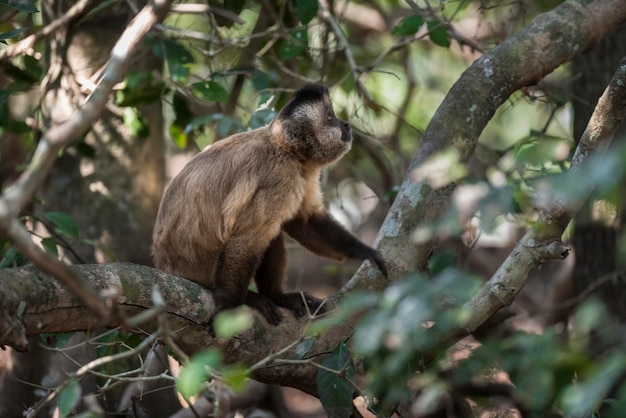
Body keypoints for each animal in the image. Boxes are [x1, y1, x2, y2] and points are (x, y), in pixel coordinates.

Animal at [151, 85, 386, 324]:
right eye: (330, 117)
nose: (345, 124)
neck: (287, 151)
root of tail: (165, 265)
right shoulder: (278, 177)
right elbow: (245, 239)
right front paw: (228, 306)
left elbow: (304, 221)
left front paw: (363, 251)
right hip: (202, 271)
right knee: (262, 235)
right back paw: (252, 298)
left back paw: (277, 296)